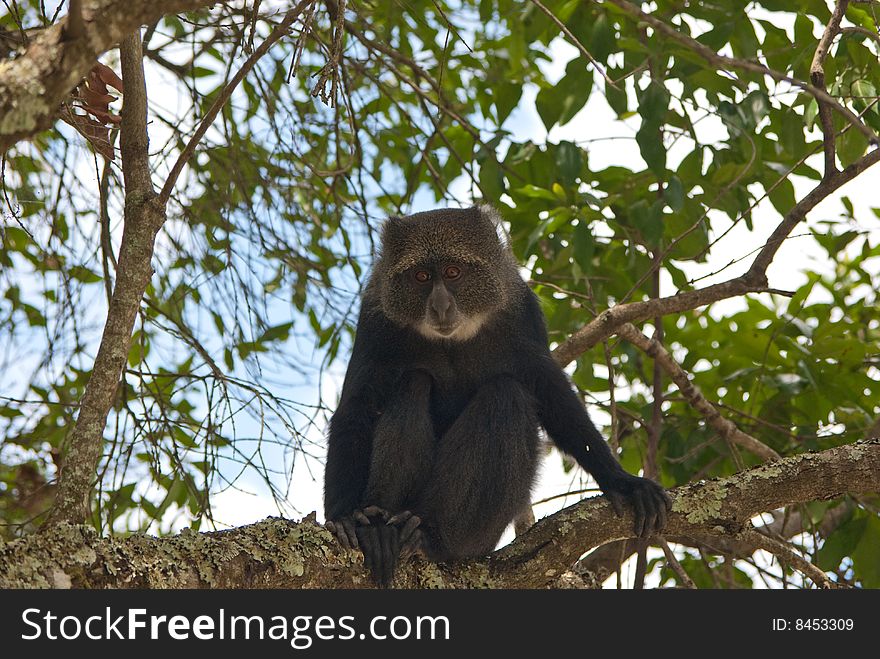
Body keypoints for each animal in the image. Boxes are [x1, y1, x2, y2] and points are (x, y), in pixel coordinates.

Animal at [324, 206, 672, 588]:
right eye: (421, 276)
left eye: (453, 272)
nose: (440, 306)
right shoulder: (375, 320)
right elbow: (355, 409)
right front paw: (344, 516)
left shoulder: (523, 314)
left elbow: (553, 396)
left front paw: (622, 481)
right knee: (414, 382)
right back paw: (381, 530)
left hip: (481, 535)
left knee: (505, 394)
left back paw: (431, 537)